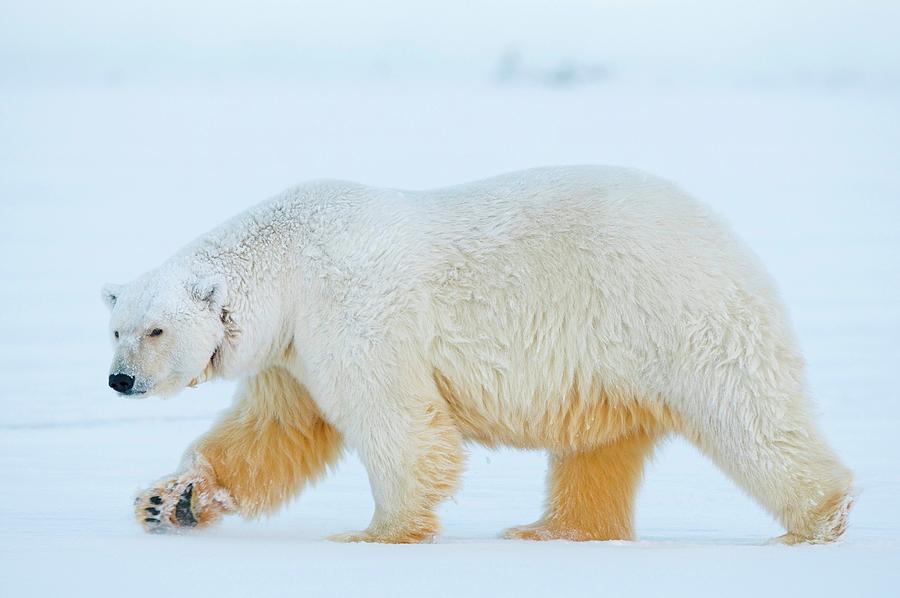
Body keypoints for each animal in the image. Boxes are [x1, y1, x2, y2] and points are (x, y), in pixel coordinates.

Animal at [102, 166, 856, 548]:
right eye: (115, 327)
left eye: (156, 331)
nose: (119, 380)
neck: (288, 258)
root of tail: (727, 235)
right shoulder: (293, 351)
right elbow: (275, 432)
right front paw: (171, 500)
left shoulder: (350, 313)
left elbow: (398, 424)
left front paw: (377, 532)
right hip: (615, 355)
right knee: (600, 449)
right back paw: (552, 530)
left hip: (672, 314)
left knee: (747, 415)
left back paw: (819, 519)